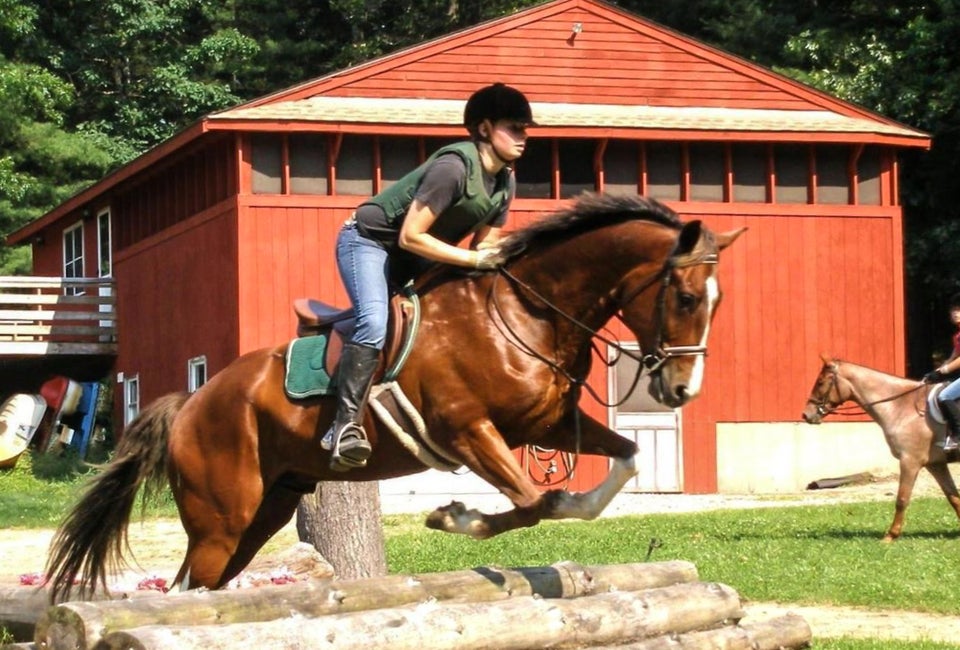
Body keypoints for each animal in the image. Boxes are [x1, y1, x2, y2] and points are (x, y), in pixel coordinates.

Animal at [45, 193, 744, 602]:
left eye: (717, 303)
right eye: (686, 297)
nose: (682, 389)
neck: (526, 311)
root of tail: (189, 405)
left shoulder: (545, 425)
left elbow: (617, 466)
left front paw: (564, 502)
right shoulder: (468, 431)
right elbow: (531, 503)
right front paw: (453, 516)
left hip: (265, 509)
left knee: (206, 585)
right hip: (222, 516)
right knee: (191, 587)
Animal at [801, 355, 960, 541]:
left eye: (820, 382)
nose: (806, 414)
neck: (901, 407)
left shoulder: (910, 461)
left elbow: (902, 499)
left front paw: (890, 536)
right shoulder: (936, 464)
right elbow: (953, 497)